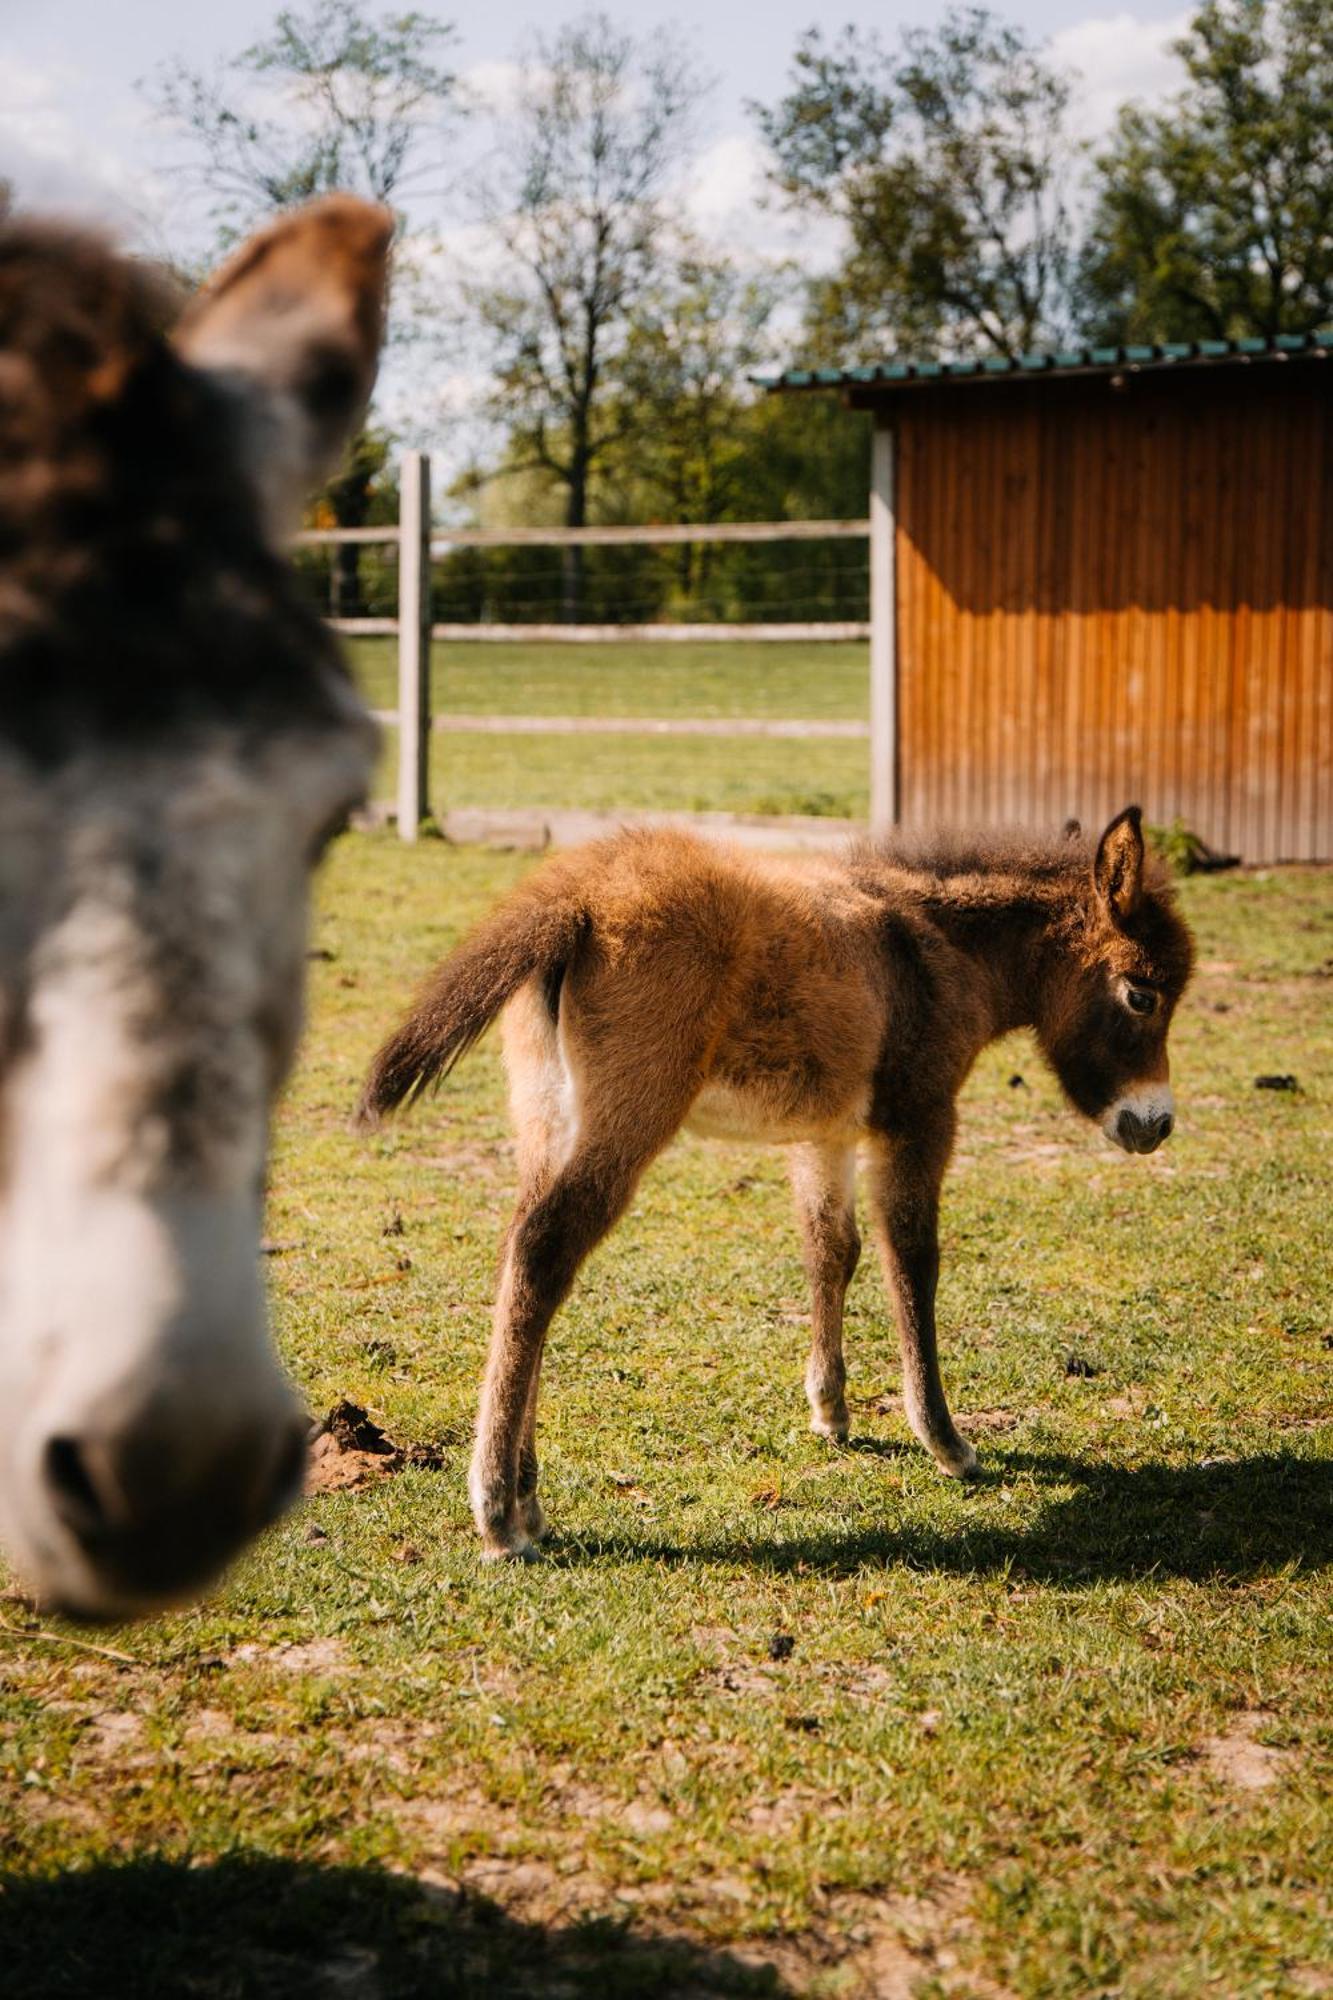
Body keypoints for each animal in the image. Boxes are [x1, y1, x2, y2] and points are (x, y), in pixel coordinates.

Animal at [364, 804, 1192, 1552]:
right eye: (1140, 992)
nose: (1154, 1124)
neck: (940, 945)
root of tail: (579, 895)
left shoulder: (825, 1134)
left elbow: (832, 1250)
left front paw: (831, 1412)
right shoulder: (921, 1119)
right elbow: (911, 1261)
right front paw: (945, 1441)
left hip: (548, 1119)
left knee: (523, 1254)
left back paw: (526, 1499)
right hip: (628, 1120)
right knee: (545, 1250)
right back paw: (499, 1512)